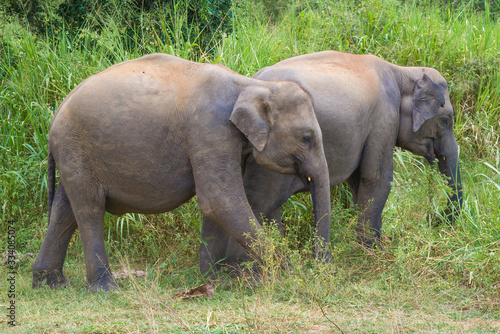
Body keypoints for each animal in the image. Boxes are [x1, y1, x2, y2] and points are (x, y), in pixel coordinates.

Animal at [32, 53, 332, 290]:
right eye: (307, 138)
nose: (317, 270)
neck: (251, 85)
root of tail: (55, 115)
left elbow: (216, 206)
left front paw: (216, 280)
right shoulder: (210, 129)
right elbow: (220, 200)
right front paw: (288, 274)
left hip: (73, 153)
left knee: (64, 211)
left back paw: (50, 284)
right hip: (76, 147)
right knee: (89, 209)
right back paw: (106, 289)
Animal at [200, 49, 464, 268]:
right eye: (446, 120)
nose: (433, 218)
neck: (402, 71)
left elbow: (359, 183)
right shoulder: (385, 119)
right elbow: (376, 178)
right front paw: (374, 255)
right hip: (271, 159)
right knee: (261, 202)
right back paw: (244, 268)